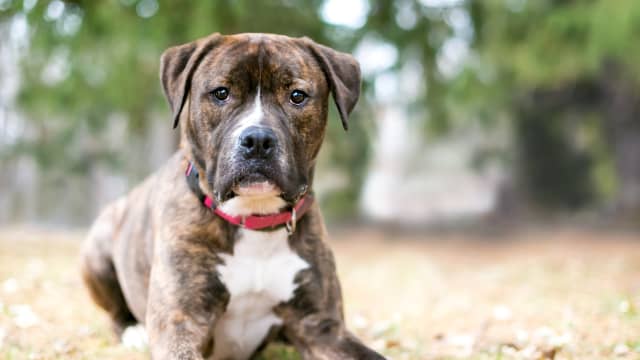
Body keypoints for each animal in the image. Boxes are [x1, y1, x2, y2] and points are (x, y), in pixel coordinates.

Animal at [80, 32, 384, 358]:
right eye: (221, 93)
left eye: (297, 96)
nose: (258, 139)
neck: (254, 218)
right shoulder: (180, 320)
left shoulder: (322, 327)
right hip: (97, 250)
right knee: (115, 313)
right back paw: (133, 332)